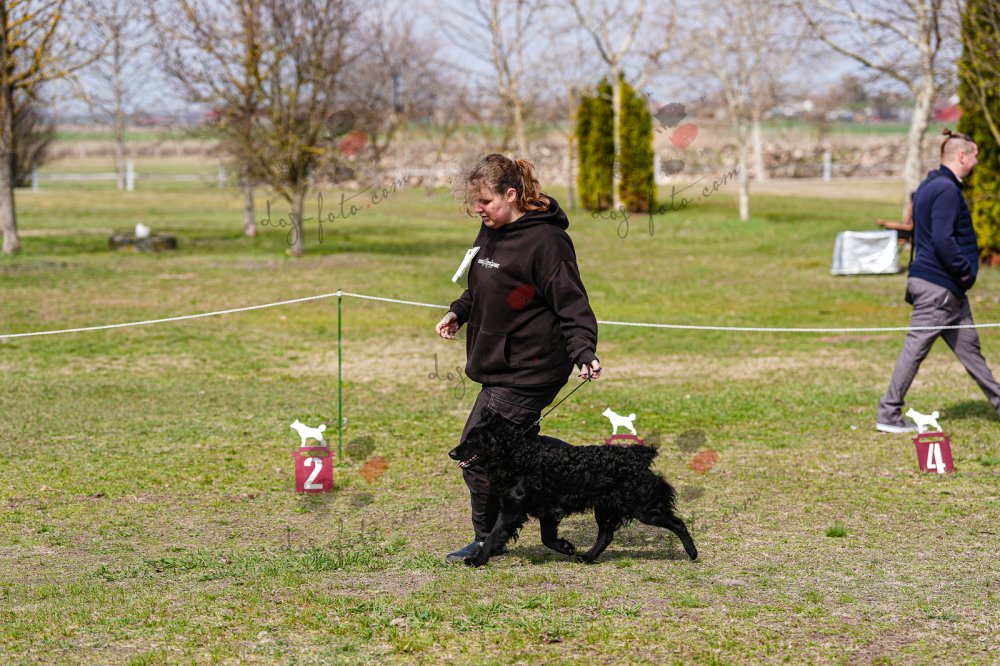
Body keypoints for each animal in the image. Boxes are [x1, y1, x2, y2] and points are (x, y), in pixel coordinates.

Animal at [448, 408, 698, 567]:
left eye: (471, 440)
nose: (451, 453)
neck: (520, 457)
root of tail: (638, 456)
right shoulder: (547, 511)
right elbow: (547, 538)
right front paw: (566, 547)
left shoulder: (512, 511)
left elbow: (492, 537)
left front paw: (476, 561)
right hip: (606, 508)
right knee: (606, 535)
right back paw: (587, 558)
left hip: (644, 509)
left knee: (678, 523)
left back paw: (692, 552)